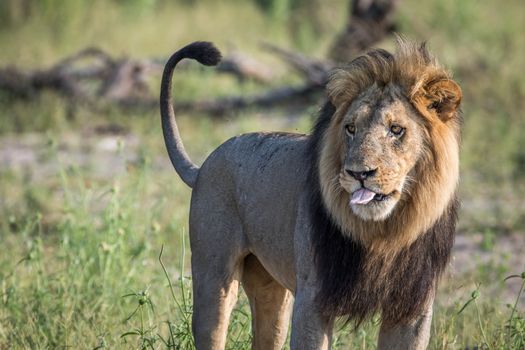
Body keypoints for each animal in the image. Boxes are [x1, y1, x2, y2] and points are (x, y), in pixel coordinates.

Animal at [159, 39, 458, 348]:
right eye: (351, 128)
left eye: (396, 129)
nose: (358, 174)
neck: (384, 233)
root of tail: (204, 164)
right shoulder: (313, 298)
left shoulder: (412, 309)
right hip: (214, 277)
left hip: (271, 292)